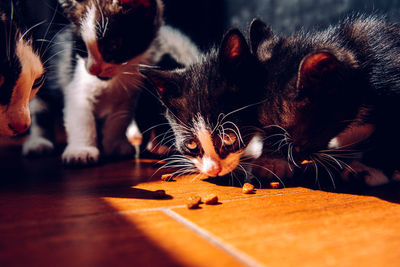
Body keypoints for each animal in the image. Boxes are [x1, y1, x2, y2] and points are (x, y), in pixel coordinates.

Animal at [22, 0, 199, 164]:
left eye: (113, 45)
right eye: (81, 47)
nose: (93, 69)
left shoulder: (129, 94)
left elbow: (118, 120)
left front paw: (115, 145)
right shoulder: (76, 84)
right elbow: (81, 117)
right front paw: (81, 150)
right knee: (40, 111)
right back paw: (38, 142)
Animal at [250, 15, 400, 187]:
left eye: (305, 137)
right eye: (265, 132)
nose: (298, 158)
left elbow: (389, 133)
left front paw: (370, 169)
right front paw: (272, 161)